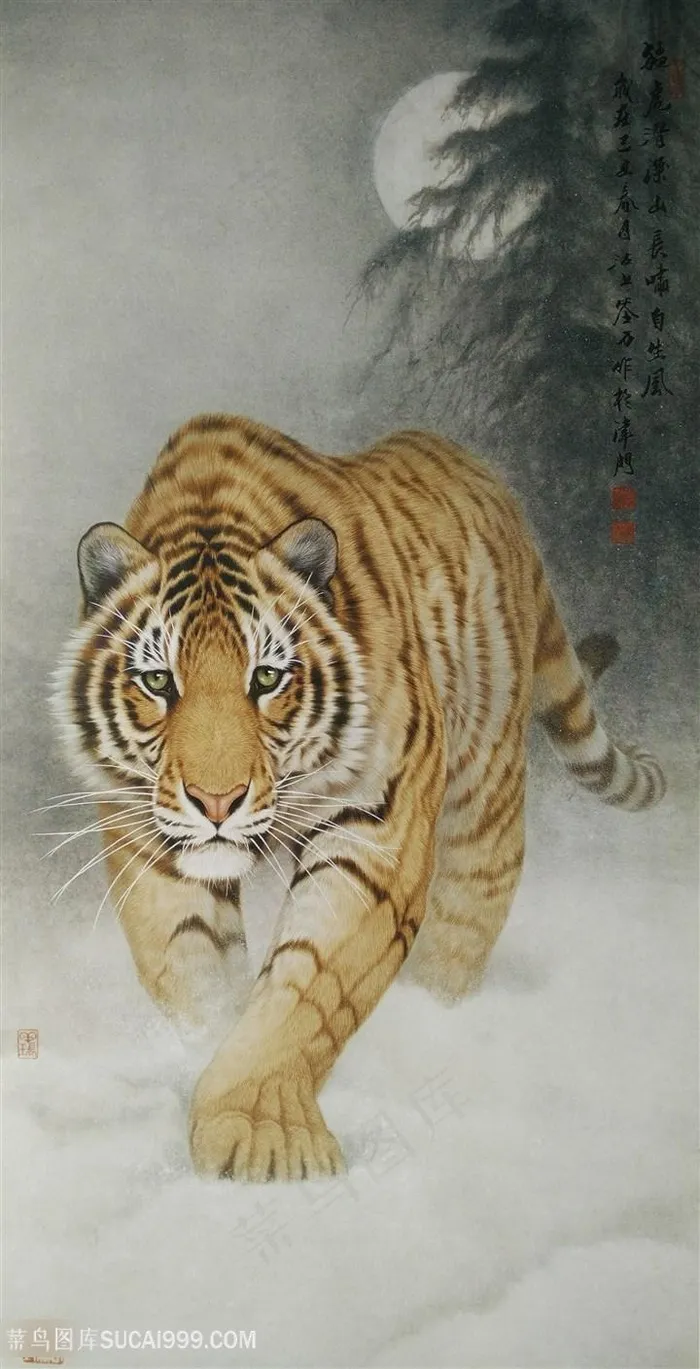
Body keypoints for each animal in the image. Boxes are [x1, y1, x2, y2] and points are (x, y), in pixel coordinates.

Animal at [52, 414, 665, 1183]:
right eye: (159, 682)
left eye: (267, 678)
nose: (217, 802)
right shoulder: (150, 838)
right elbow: (191, 967)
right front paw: (212, 1053)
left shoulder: (375, 826)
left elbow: (310, 984)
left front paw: (262, 1132)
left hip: (483, 802)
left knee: (463, 926)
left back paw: (436, 1030)